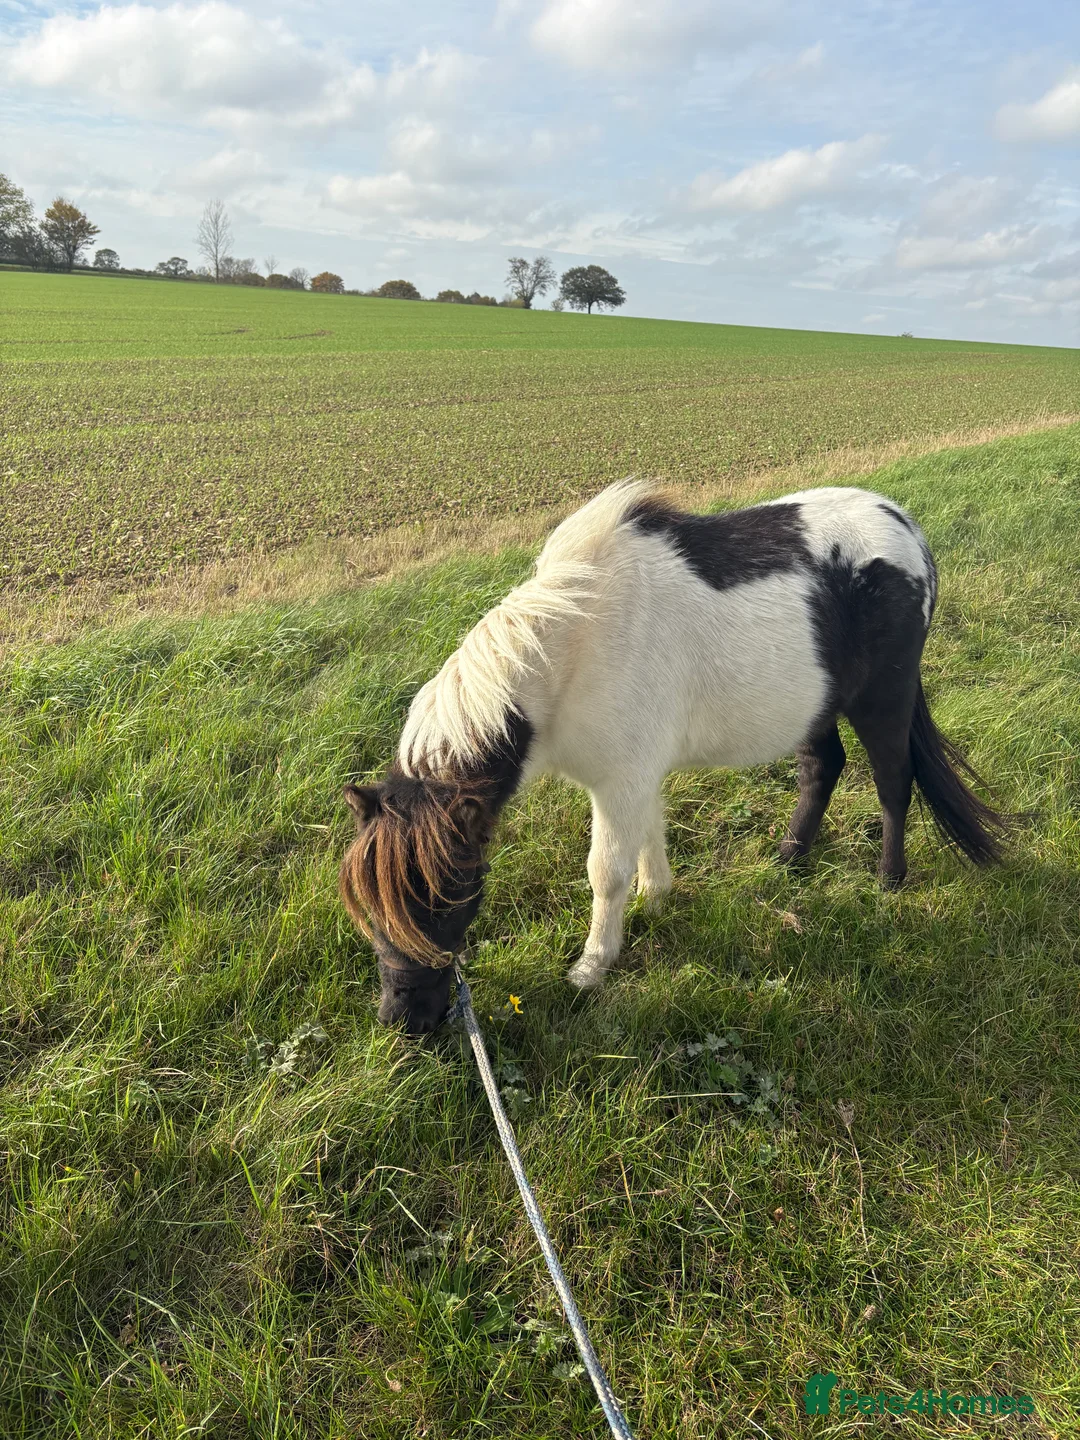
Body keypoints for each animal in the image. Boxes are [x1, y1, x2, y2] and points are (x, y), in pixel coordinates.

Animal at [339, 480, 1008, 1034]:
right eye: (371, 908)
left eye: (446, 896)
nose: (404, 1020)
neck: (569, 651)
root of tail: (908, 531)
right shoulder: (636, 776)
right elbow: (648, 838)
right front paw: (656, 898)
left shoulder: (621, 781)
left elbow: (606, 872)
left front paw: (593, 967)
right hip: (816, 702)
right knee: (823, 769)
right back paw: (788, 861)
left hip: (882, 701)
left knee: (894, 779)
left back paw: (889, 881)